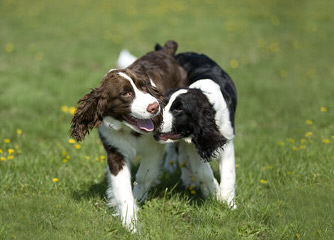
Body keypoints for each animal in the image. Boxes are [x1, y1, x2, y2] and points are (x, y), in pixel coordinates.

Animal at [70, 40, 187, 231]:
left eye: (143, 87)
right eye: (125, 93)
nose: (155, 107)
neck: (129, 130)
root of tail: (165, 51)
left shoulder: (153, 150)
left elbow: (144, 176)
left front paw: (137, 198)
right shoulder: (115, 151)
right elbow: (122, 186)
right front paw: (129, 222)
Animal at [155, 52, 237, 208]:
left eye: (179, 109)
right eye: (163, 103)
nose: (154, 119)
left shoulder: (226, 138)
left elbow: (228, 173)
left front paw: (228, 202)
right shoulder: (191, 146)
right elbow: (202, 171)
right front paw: (213, 192)